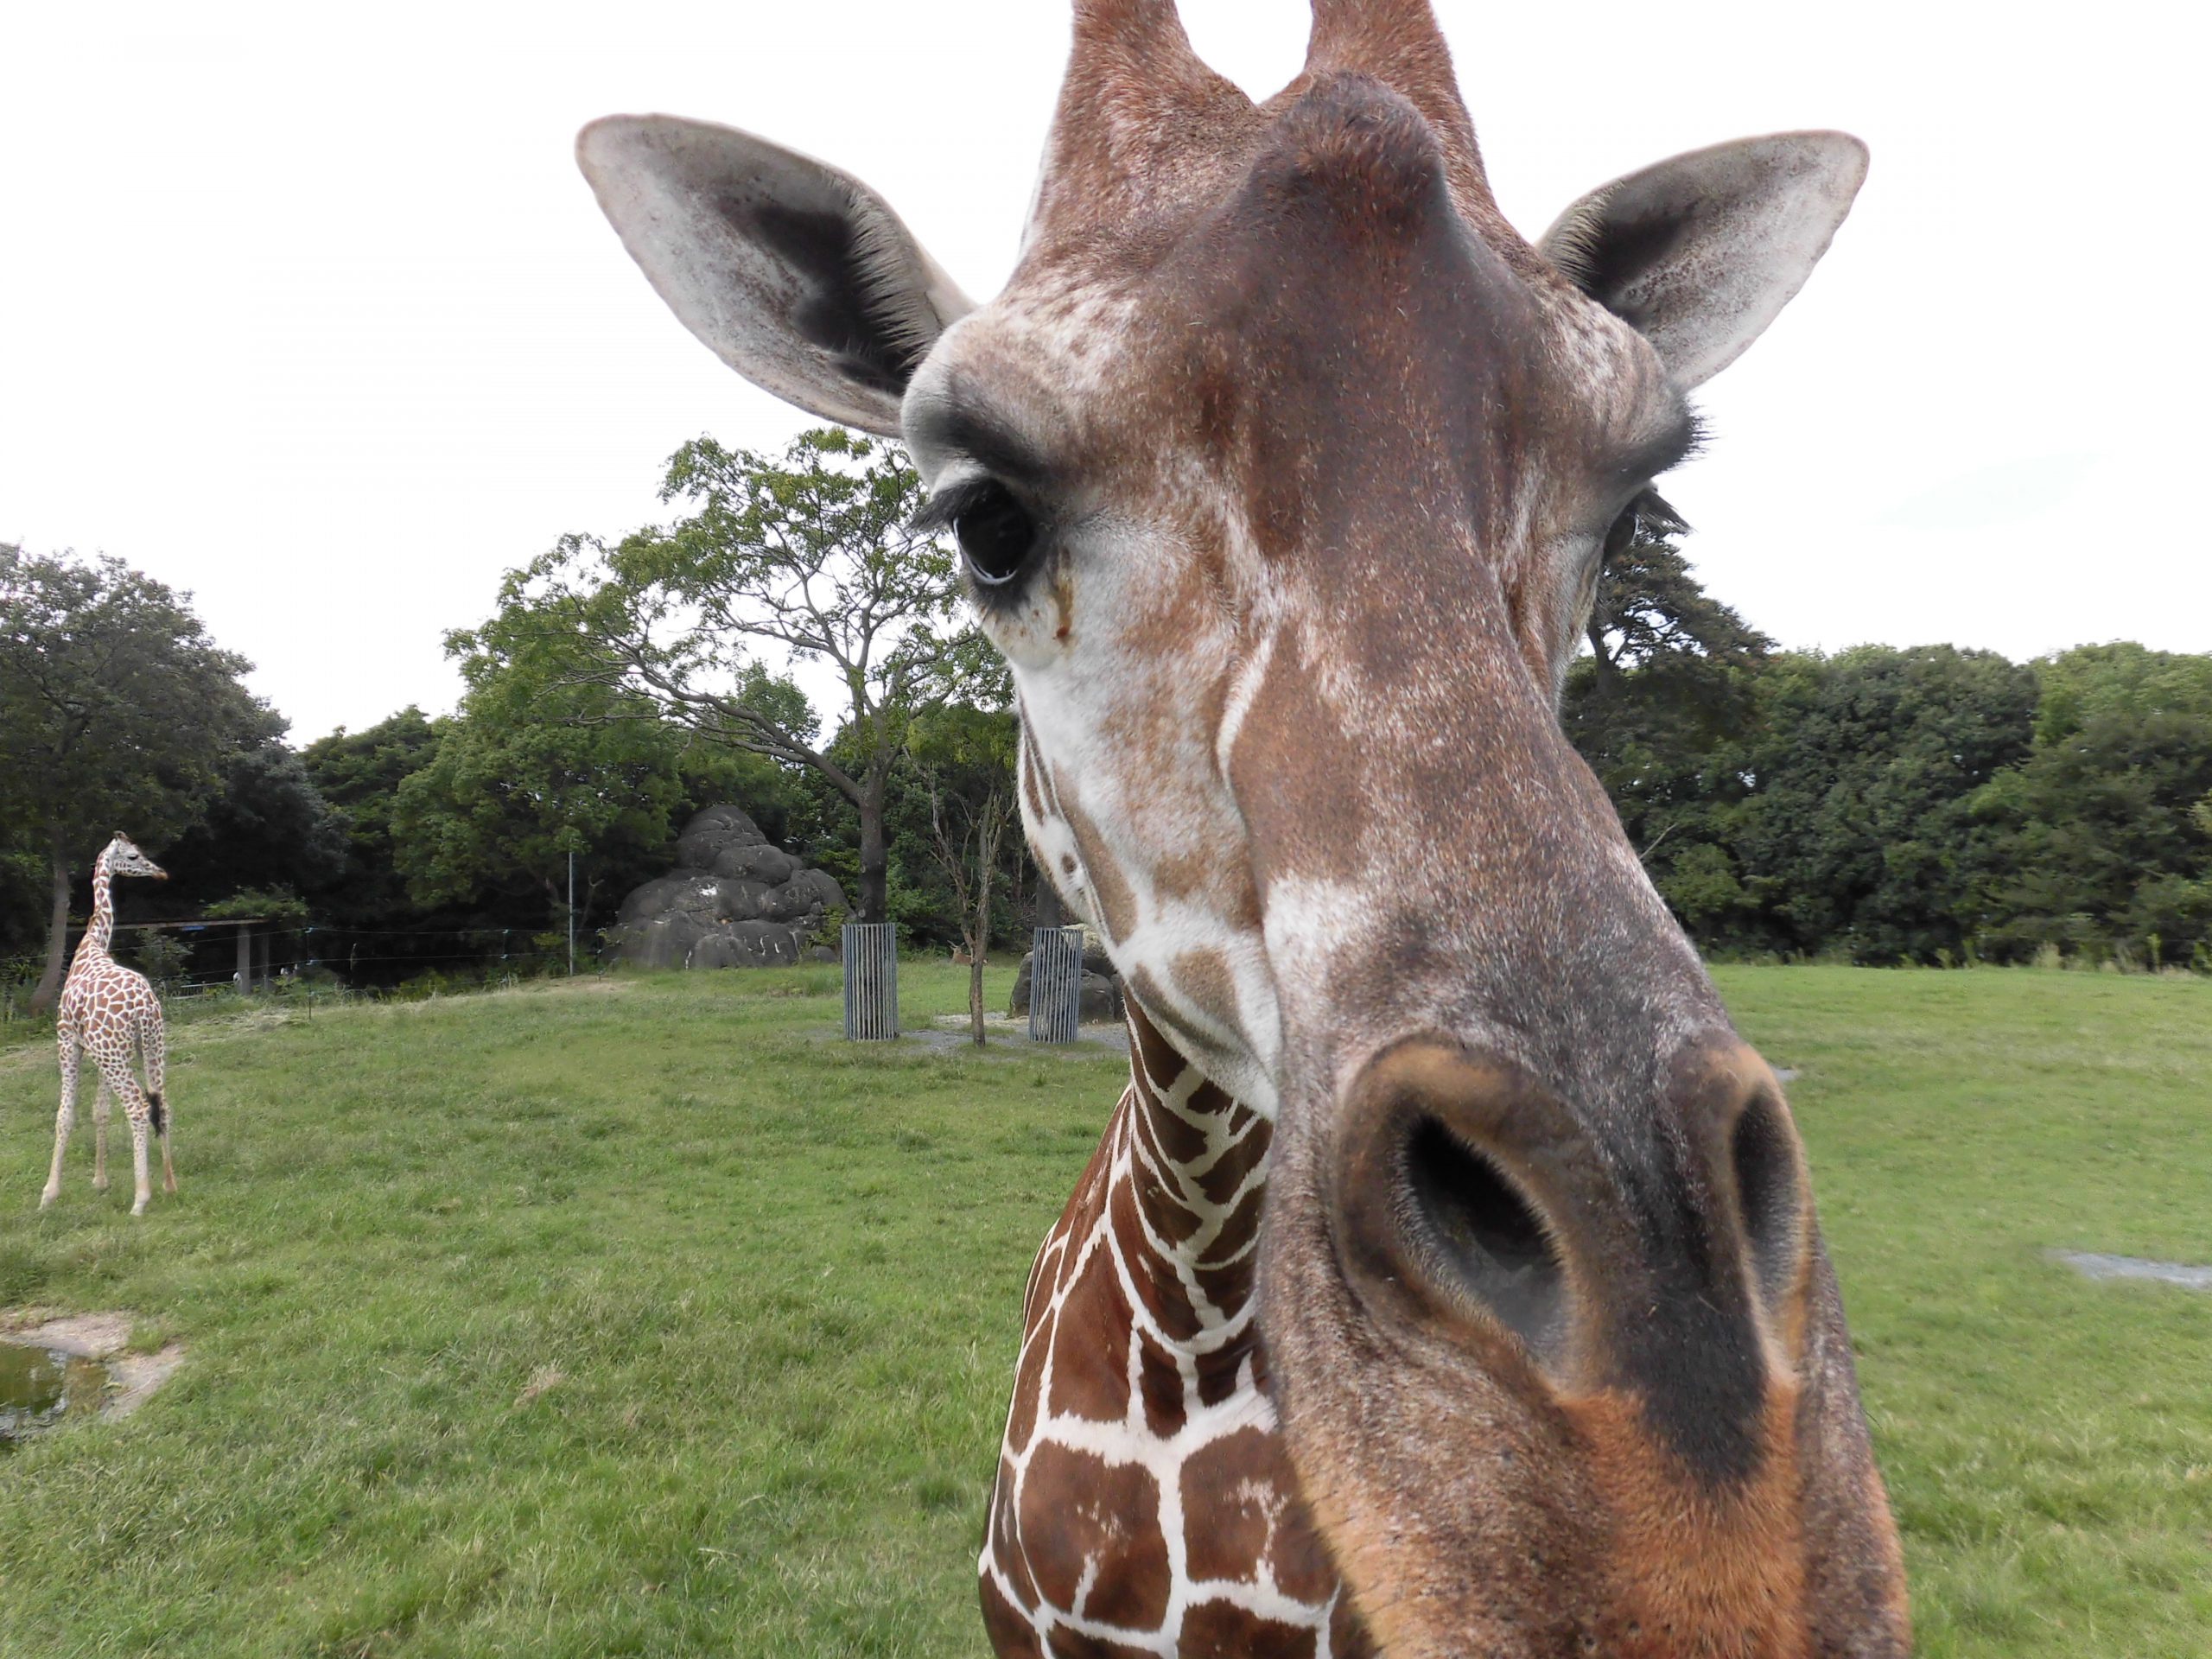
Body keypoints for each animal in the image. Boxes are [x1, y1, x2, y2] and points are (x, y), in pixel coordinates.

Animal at [41, 836, 175, 1211]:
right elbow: (100, 1110)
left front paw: (49, 1193)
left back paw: (141, 1198)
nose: (161, 873)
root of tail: (143, 1007)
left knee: (138, 1106)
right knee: (162, 1103)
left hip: (115, 1056)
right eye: (134, 856)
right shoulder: (99, 1050)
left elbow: (65, 1114)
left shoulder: (68, 1041)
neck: (91, 945)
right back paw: (169, 1185)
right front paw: (100, 1182)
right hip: (151, 1045)